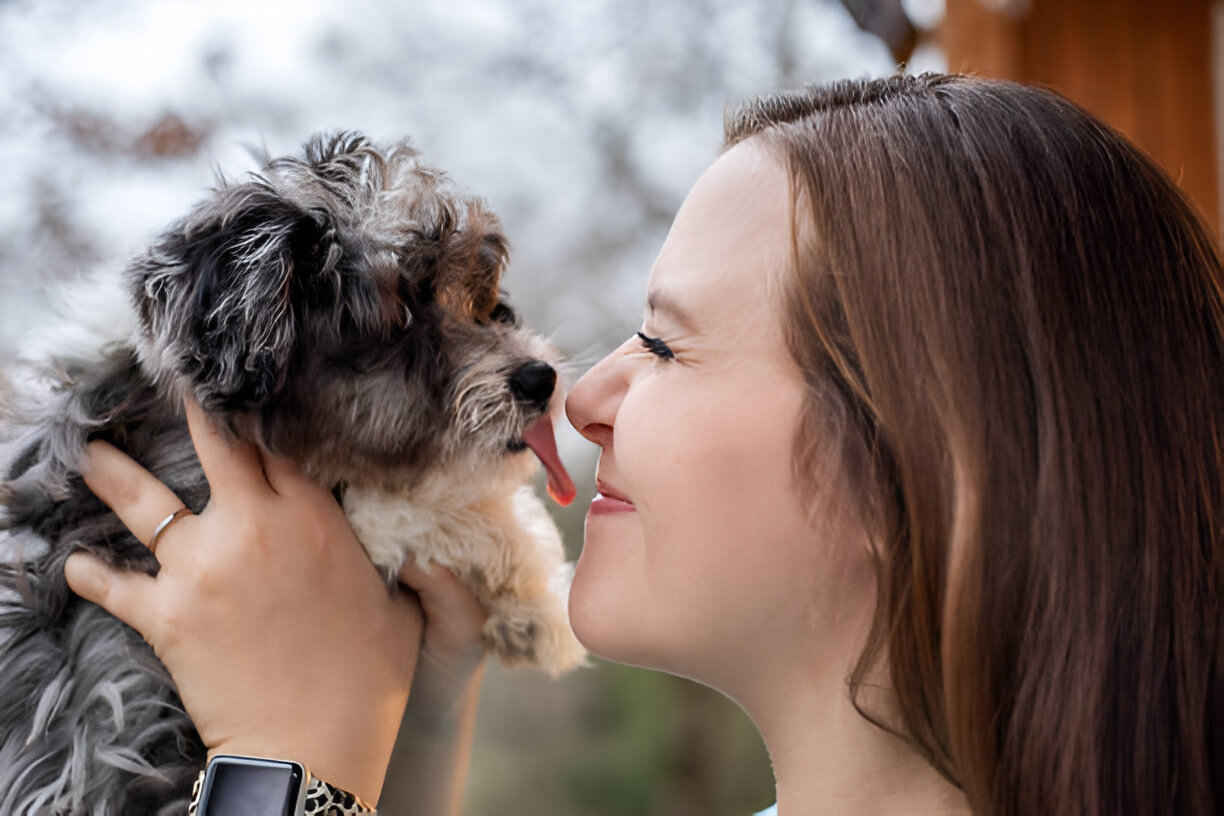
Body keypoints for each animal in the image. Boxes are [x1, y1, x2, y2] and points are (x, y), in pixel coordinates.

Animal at [0, 135, 587, 816]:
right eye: (403, 323)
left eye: (487, 302)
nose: (539, 378)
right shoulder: (172, 498)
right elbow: (416, 508)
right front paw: (544, 603)